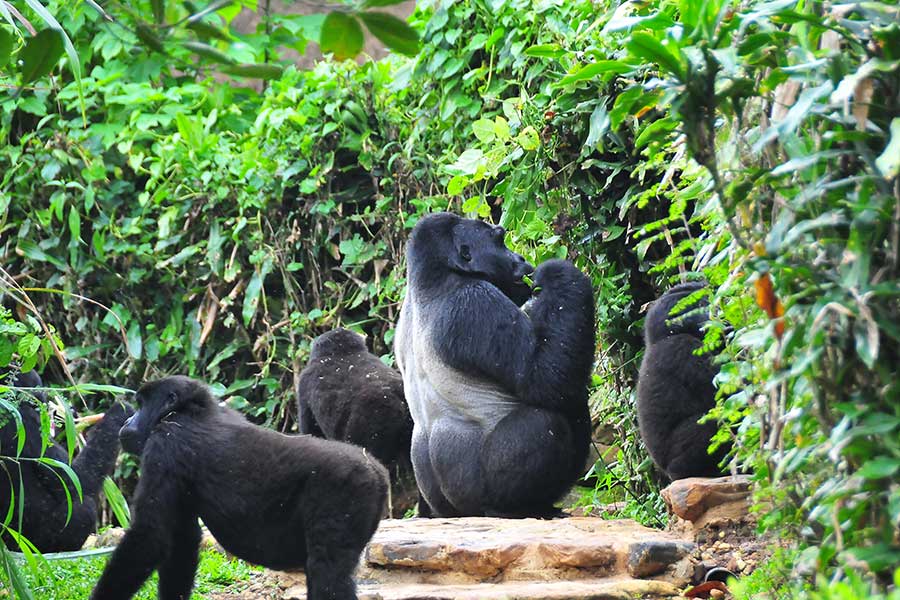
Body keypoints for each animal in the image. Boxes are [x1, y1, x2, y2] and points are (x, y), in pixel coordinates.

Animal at [0, 368, 131, 556]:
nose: (46, 403)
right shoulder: (28, 424)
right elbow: (75, 481)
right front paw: (119, 412)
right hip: (38, 544)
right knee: (85, 508)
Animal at [90, 376, 386, 600]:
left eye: (141, 405)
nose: (127, 422)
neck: (192, 410)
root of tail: (376, 469)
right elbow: (181, 541)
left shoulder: (166, 444)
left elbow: (149, 537)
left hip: (346, 488)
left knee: (329, 573)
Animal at [396, 212, 596, 516]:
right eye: (500, 241)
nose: (520, 257)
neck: (432, 276)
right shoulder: (474, 301)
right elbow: (545, 380)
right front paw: (558, 274)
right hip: (479, 498)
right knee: (547, 420)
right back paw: (525, 507)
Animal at [632, 282, 732, 482]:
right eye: (700, 305)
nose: (715, 313)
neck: (663, 336)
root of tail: (668, 473)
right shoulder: (682, 347)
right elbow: (725, 389)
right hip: (677, 462)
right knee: (715, 418)